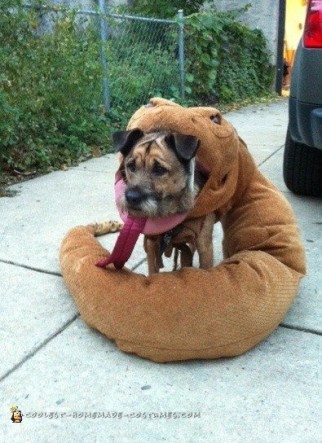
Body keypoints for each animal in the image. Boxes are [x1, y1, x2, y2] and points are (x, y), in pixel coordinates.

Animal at [114, 127, 215, 274]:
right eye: (131, 166)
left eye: (159, 169)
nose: (131, 197)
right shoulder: (151, 244)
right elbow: (153, 269)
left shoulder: (205, 246)